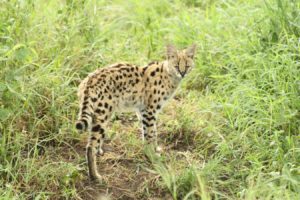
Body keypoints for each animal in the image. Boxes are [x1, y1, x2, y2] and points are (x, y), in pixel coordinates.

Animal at [75, 44, 197, 181]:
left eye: (187, 66)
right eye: (176, 65)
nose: (182, 73)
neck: (168, 74)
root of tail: (88, 81)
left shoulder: (142, 111)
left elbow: (151, 132)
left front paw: (154, 149)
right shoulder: (149, 111)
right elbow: (149, 134)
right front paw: (151, 154)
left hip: (97, 114)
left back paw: (98, 153)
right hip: (103, 114)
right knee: (90, 146)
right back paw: (94, 175)